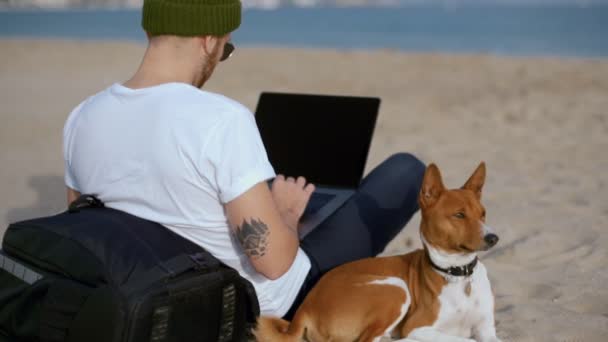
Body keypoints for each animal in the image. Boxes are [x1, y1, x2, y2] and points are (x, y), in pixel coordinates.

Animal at [254, 163, 502, 342]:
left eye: (483, 213)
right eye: (459, 215)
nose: (493, 238)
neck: (459, 274)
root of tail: (306, 306)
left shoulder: (486, 330)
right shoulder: (418, 326)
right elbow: (466, 341)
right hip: (395, 289)